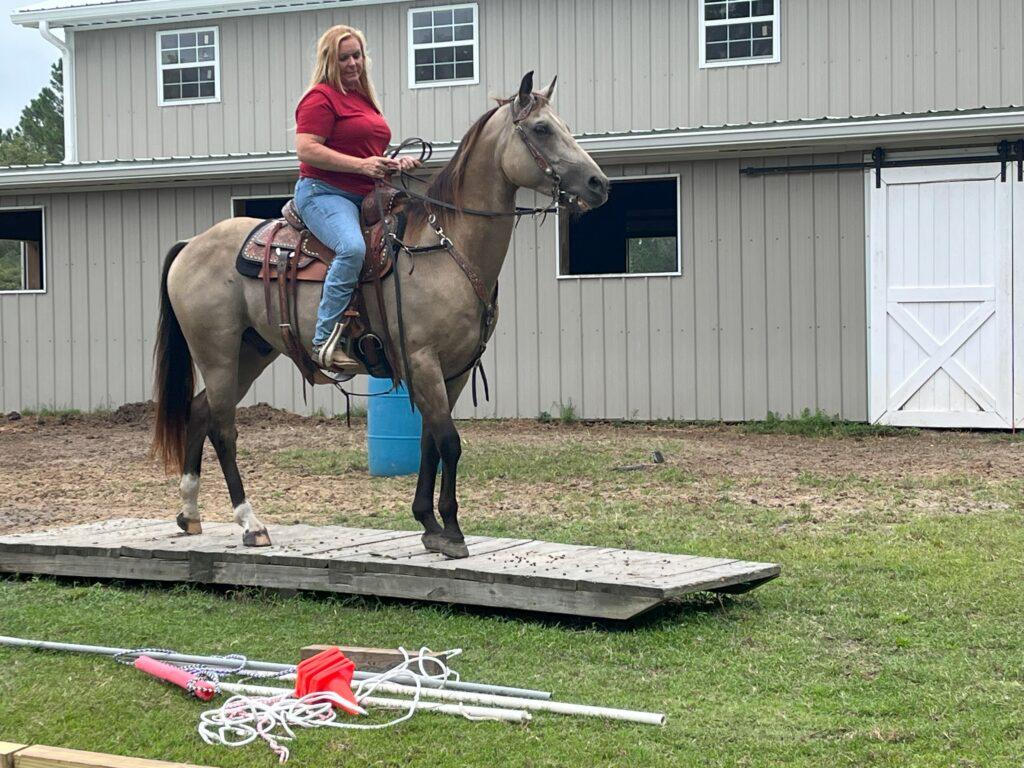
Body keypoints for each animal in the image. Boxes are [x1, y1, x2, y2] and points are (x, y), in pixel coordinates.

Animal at [149, 73, 606, 561]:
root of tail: (192, 244)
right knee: (223, 428)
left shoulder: (454, 369)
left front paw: (428, 523)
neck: (445, 248)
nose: (599, 184)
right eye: (541, 129)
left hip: (251, 351)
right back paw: (251, 524)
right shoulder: (422, 360)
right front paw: (453, 532)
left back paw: (190, 513)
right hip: (216, 352)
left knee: (199, 413)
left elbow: (430, 441)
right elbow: (449, 442)